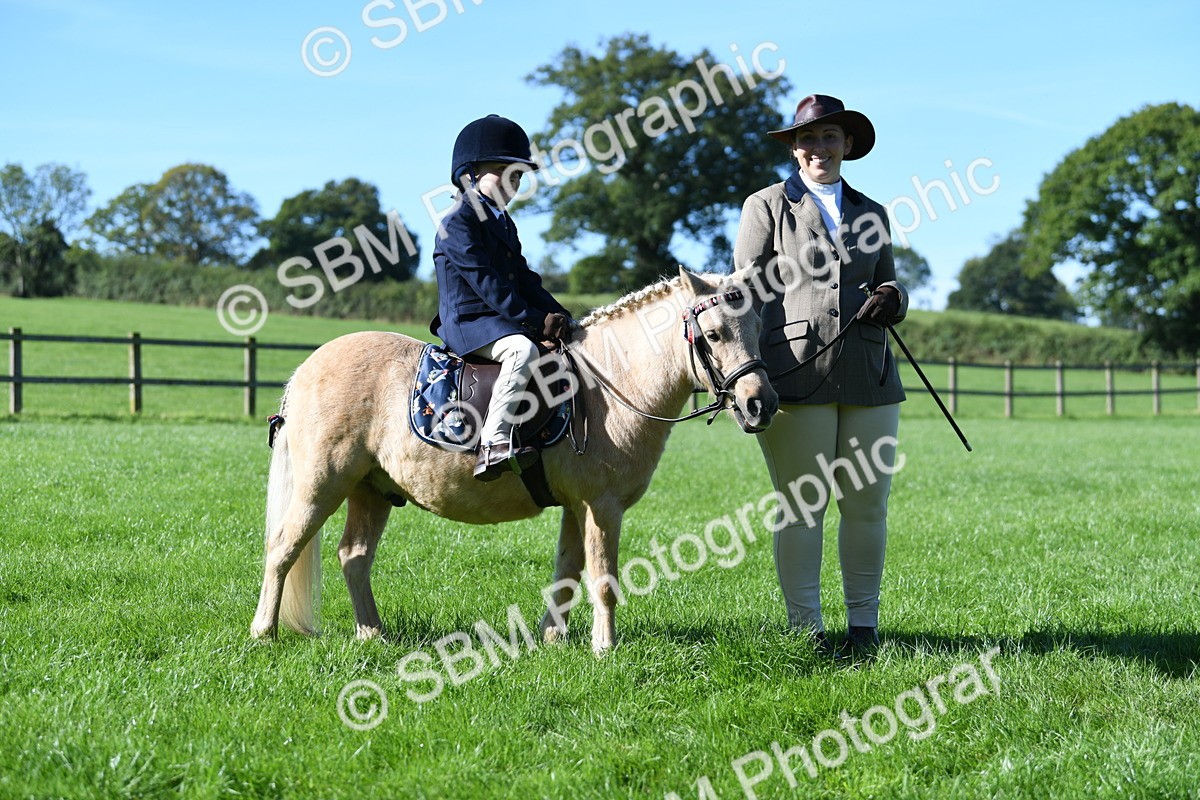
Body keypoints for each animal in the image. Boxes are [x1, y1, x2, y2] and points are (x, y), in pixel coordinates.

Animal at [249, 267, 779, 655]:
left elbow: (567, 571)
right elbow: (603, 579)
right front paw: (604, 649)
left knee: (354, 558)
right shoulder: (603, 506)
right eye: (713, 334)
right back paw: (264, 633)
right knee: (282, 549)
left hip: (372, 490)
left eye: (757, 328)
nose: (761, 404)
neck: (610, 382)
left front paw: (553, 639)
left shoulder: (577, 507)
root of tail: (305, 370)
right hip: (322, 485)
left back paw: (372, 635)